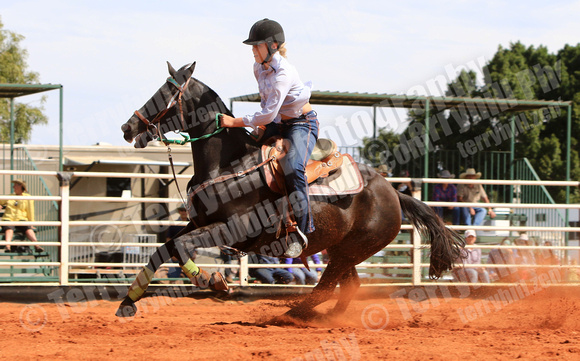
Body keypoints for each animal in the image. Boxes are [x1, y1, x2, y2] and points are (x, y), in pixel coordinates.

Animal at [115, 62, 464, 318]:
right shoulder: (200, 222)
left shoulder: (232, 229)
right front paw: (128, 302)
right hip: (342, 249)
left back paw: (291, 315)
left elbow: (180, 246)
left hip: (354, 248)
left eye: (165, 92)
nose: (127, 127)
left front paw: (212, 280)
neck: (227, 165)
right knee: (347, 286)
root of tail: (394, 192)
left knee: (327, 286)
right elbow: (165, 248)